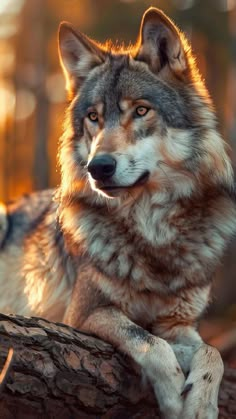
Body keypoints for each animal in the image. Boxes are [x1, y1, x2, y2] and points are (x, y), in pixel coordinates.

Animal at [0, 7, 236, 419]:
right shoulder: (84, 314)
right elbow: (147, 341)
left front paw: (201, 404)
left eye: (141, 110)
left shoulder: (179, 324)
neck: (152, 232)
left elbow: (212, 353)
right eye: (94, 117)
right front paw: (173, 395)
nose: (98, 167)